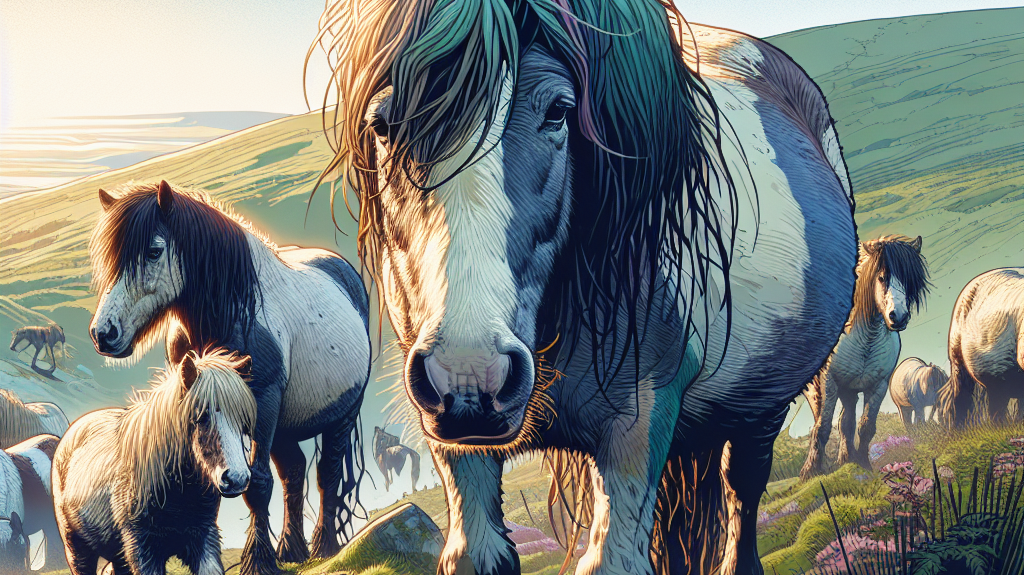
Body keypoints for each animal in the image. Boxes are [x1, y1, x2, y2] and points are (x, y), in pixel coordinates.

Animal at [53, 349, 256, 575]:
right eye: (201, 417)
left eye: (243, 422)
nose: (237, 478)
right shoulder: (143, 552)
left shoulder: (204, 540)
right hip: (77, 549)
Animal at [88, 181, 372, 575]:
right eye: (108, 260)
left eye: (154, 251)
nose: (104, 333)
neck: (231, 310)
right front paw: (268, 556)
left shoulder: (263, 401)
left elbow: (258, 484)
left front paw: (258, 562)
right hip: (283, 427)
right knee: (295, 473)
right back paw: (292, 550)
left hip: (340, 415)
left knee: (326, 474)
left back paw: (324, 547)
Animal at [309, 1, 858, 573]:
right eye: (383, 125)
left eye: (557, 111)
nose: (469, 378)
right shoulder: (459, 450)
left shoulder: (637, 422)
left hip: (761, 407)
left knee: (743, 492)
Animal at [801, 235, 930, 479]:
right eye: (882, 277)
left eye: (910, 281)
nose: (898, 317)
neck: (866, 336)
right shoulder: (829, 381)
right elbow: (822, 427)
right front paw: (811, 472)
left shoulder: (878, 385)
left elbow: (865, 426)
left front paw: (862, 463)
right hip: (819, 391)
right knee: (823, 422)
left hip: (849, 391)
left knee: (846, 422)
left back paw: (846, 459)